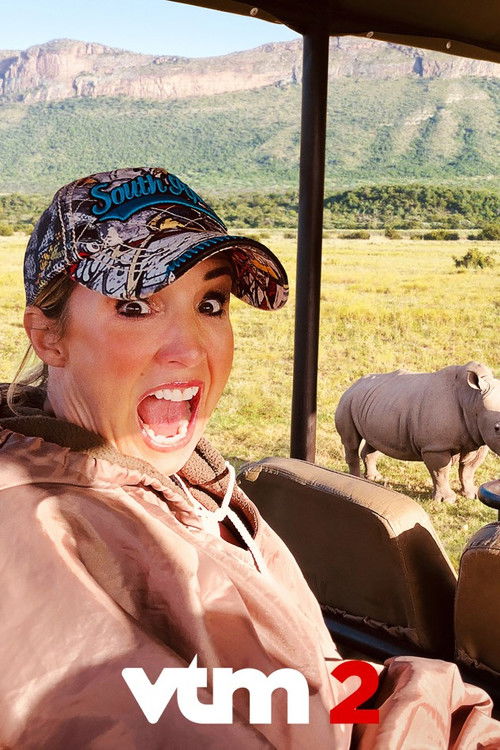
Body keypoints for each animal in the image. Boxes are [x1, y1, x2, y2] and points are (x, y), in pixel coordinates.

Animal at [334, 362, 500, 502]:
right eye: (497, 428)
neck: (472, 399)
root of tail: (354, 384)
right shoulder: (435, 447)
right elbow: (441, 472)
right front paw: (446, 500)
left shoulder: (477, 440)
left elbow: (468, 469)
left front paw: (472, 494)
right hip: (347, 401)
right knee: (351, 443)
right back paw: (355, 479)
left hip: (375, 404)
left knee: (373, 441)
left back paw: (374, 478)